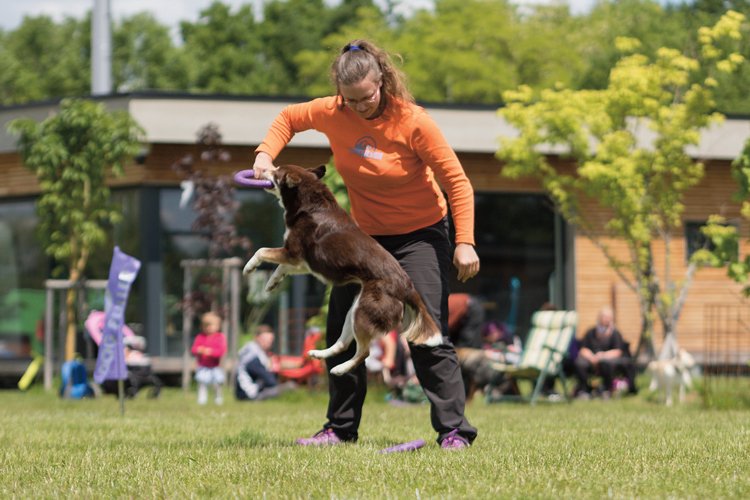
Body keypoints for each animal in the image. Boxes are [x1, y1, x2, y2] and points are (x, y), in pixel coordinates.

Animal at [241, 164, 444, 376]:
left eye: (276, 171)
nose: (261, 169)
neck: (311, 204)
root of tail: (407, 286)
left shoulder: (293, 253)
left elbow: (261, 251)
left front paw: (249, 267)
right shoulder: (303, 262)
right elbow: (281, 267)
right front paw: (272, 283)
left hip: (364, 312)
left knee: (364, 352)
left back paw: (340, 368)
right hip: (355, 309)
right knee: (343, 344)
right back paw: (321, 354)